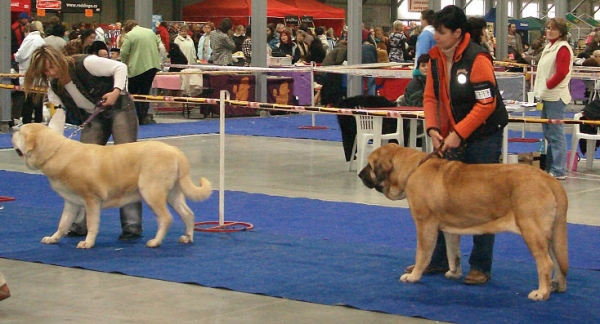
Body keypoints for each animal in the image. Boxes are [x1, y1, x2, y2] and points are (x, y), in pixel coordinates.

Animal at [10, 110, 212, 249]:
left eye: (21, 132)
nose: (12, 131)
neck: (55, 152)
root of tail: (176, 151)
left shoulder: (91, 199)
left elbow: (92, 223)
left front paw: (88, 242)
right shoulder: (71, 202)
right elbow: (63, 223)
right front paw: (53, 238)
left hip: (151, 192)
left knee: (166, 218)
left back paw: (155, 242)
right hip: (173, 193)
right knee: (188, 214)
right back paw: (188, 237)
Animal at [358, 144, 568, 302]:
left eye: (369, 164)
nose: (360, 175)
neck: (412, 169)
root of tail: (548, 179)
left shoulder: (425, 225)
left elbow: (422, 254)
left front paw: (414, 276)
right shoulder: (449, 229)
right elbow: (453, 253)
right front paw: (454, 272)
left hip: (532, 231)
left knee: (546, 263)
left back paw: (542, 293)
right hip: (551, 234)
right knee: (559, 261)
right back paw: (557, 286)